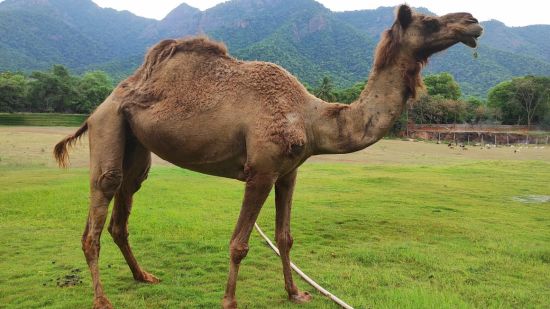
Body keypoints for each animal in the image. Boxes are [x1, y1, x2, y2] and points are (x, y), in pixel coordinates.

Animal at [52, 5, 484, 308]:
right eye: (429, 22)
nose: (473, 21)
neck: (312, 117)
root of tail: (103, 103)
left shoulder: (288, 172)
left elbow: (285, 237)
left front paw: (297, 293)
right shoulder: (259, 170)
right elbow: (239, 243)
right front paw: (229, 301)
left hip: (136, 143)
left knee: (124, 205)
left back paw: (144, 277)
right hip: (109, 125)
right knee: (100, 203)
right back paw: (102, 299)